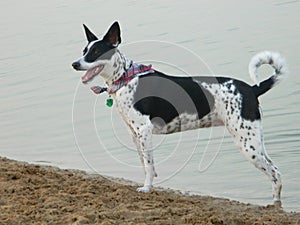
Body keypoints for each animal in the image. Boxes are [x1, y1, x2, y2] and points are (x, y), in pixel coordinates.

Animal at [72, 21, 288, 206]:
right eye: (84, 51)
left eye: (96, 52)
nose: (75, 64)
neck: (126, 77)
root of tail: (251, 89)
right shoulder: (135, 134)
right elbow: (145, 163)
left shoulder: (143, 130)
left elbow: (148, 165)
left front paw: (147, 188)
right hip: (253, 141)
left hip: (248, 144)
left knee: (276, 174)